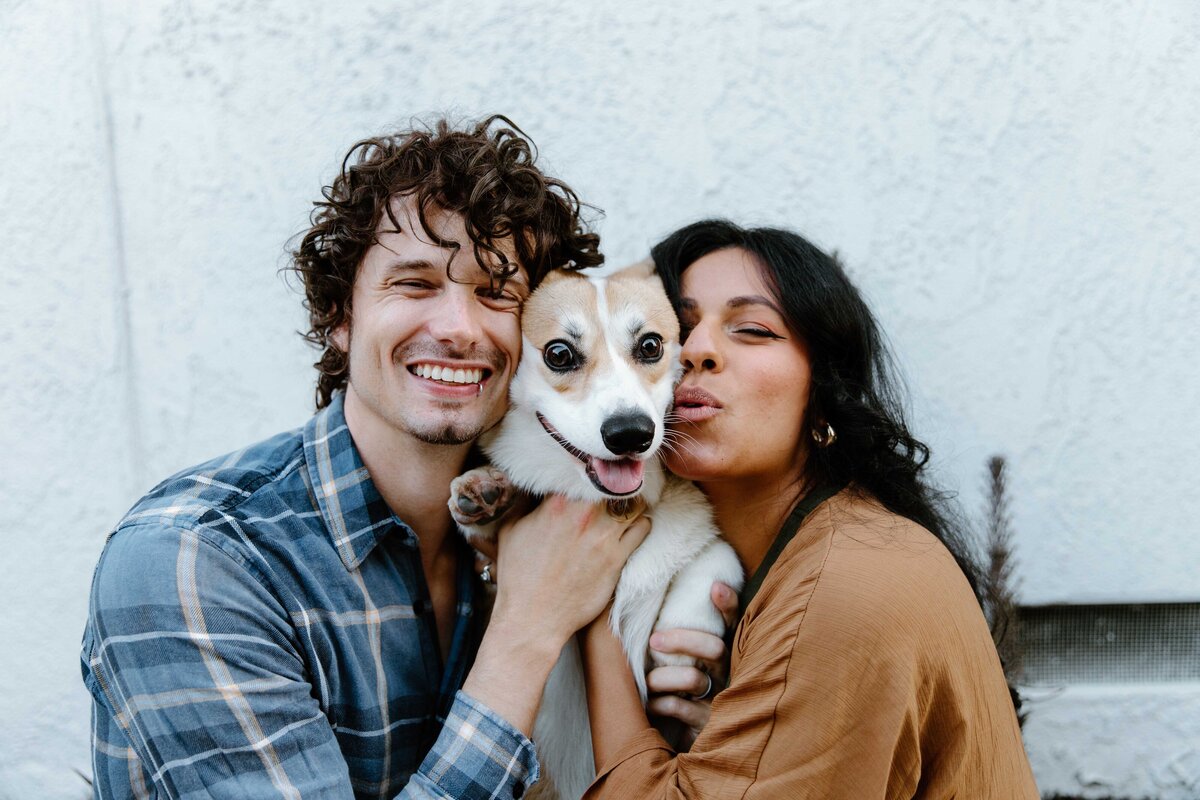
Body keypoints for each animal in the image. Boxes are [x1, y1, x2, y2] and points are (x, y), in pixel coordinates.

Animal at [448, 260, 739, 796]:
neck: (614, 505)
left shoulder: (707, 542)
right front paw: (485, 493)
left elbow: (715, 556)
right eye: (559, 353)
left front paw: (676, 645)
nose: (630, 434)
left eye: (651, 345)